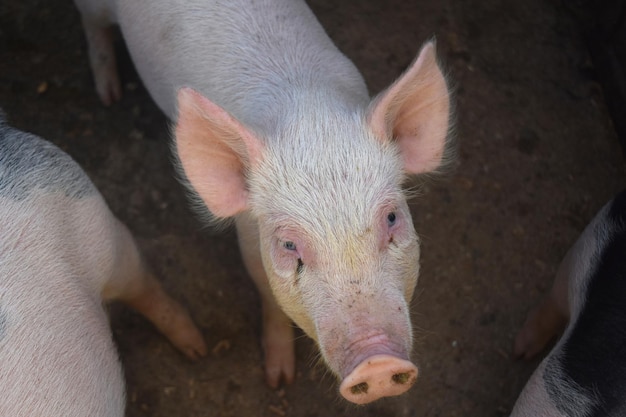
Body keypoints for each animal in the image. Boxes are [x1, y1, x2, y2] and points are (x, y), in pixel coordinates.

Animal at [73, 0, 450, 404]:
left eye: (392, 218)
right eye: (288, 245)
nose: (378, 364)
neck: (308, 111)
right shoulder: (249, 240)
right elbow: (268, 296)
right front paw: (278, 380)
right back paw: (108, 94)